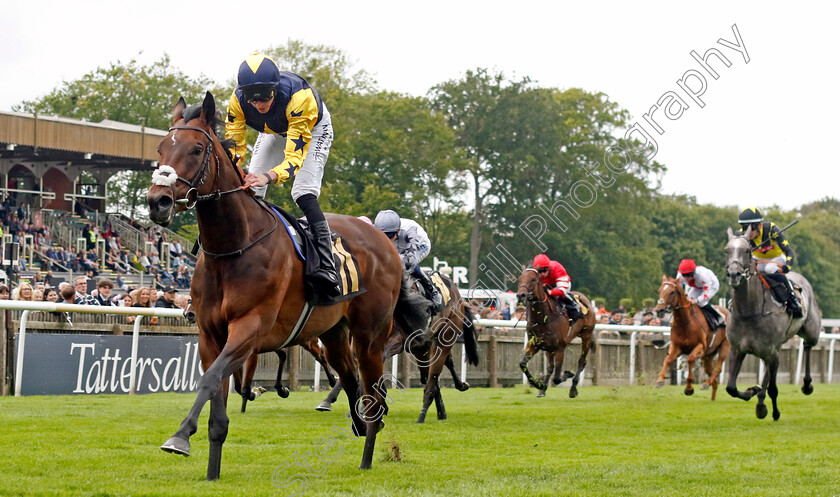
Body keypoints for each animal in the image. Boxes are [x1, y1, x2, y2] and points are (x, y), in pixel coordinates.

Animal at [146, 92, 426, 476]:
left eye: (197, 149)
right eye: (161, 148)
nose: (157, 201)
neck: (233, 247)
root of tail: (385, 242)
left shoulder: (250, 329)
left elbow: (209, 380)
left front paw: (180, 436)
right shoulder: (210, 335)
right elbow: (217, 398)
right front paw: (211, 470)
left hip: (370, 335)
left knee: (373, 394)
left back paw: (368, 457)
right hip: (333, 334)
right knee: (351, 380)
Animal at [512, 266, 596, 398]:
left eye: (533, 279)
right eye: (520, 279)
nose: (521, 295)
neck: (543, 318)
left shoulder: (560, 347)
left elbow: (557, 378)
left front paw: (567, 374)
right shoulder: (535, 344)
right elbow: (523, 364)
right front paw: (538, 385)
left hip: (586, 335)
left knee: (581, 362)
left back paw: (573, 389)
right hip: (549, 348)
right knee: (550, 367)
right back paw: (542, 390)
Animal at [720, 227, 820, 420]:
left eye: (747, 251)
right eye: (726, 250)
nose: (734, 274)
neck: (749, 312)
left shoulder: (772, 352)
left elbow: (773, 388)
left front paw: (773, 411)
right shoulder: (737, 350)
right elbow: (731, 388)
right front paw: (753, 392)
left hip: (811, 331)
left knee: (808, 345)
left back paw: (806, 384)